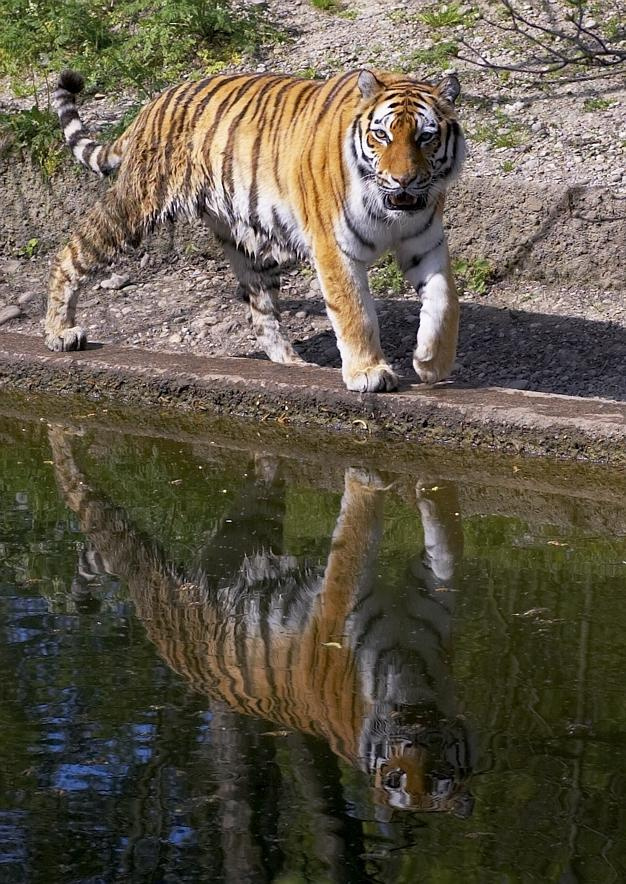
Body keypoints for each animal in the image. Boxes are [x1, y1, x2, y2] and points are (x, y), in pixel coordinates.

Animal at [45, 67, 466, 393]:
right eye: (382, 135)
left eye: (425, 137)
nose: (403, 180)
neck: (393, 212)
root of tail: (155, 102)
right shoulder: (334, 248)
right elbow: (354, 312)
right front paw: (369, 373)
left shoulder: (426, 242)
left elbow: (445, 301)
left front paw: (432, 363)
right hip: (136, 207)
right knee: (72, 252)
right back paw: (60, 333)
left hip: (251, 243)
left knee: (261, 316)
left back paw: (295, 366)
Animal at [49, 426, 473, 818]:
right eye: (395, 780)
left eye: (438, 779)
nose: (411, 746)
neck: (410, 679)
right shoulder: (338, 603)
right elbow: (358, 534)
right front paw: (368, 478)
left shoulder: (429, 591)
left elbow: (447, 548)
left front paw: (429, 490)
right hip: (155, 577)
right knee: (101, 522)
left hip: (253, 519)